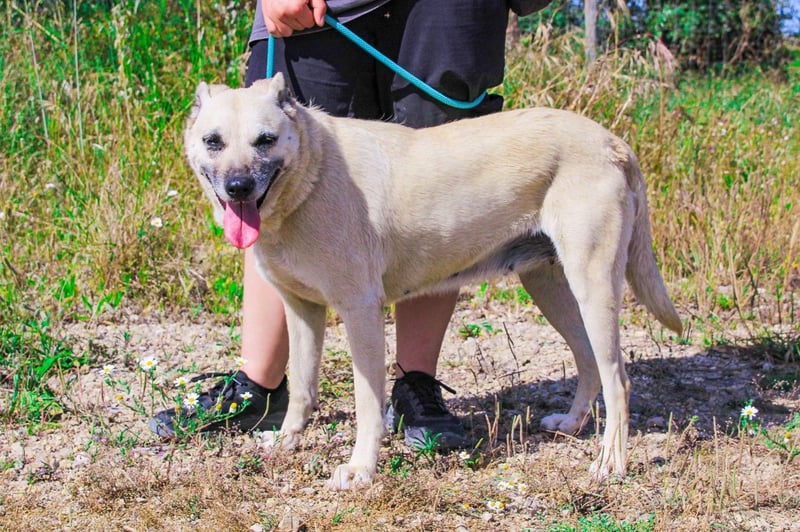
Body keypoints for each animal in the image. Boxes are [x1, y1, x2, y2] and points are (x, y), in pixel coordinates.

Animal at [185, 73, 682, 489]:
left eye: (265, 140)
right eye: (213, 142)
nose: (238, 187)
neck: (312, 173)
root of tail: (610, 140)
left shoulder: (361, 312)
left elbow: (367, 405)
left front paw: (361, 469)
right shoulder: (302, 311)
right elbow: (303, 389)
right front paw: (288, 441)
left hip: (593, 288)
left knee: (618, 380)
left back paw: (610, 463)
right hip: (551, 288)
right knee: (589, 362)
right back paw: (573, 425)